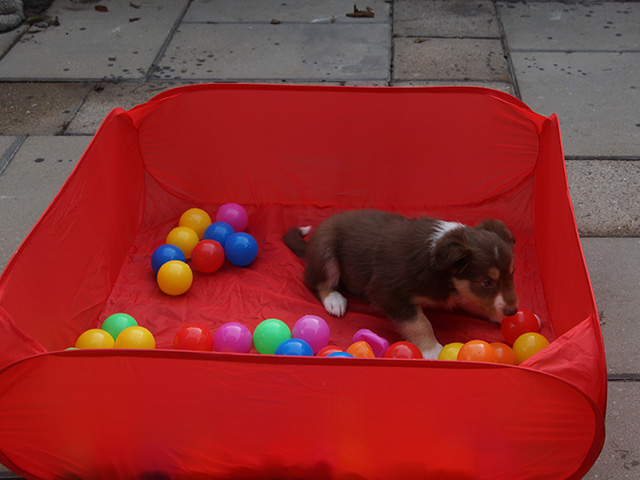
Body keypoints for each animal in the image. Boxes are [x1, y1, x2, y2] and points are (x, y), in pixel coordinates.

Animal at [284, 209, 518, 359]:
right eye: (487, 282)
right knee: (317, 281)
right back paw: (335, 300)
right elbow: (420, 323)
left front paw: (506, 317)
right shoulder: (388, 291)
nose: (513, 311)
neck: (436, 261)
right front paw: (433, 350)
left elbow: (477, 303)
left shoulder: (460, 290)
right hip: (326, 252)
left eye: (512, 274)